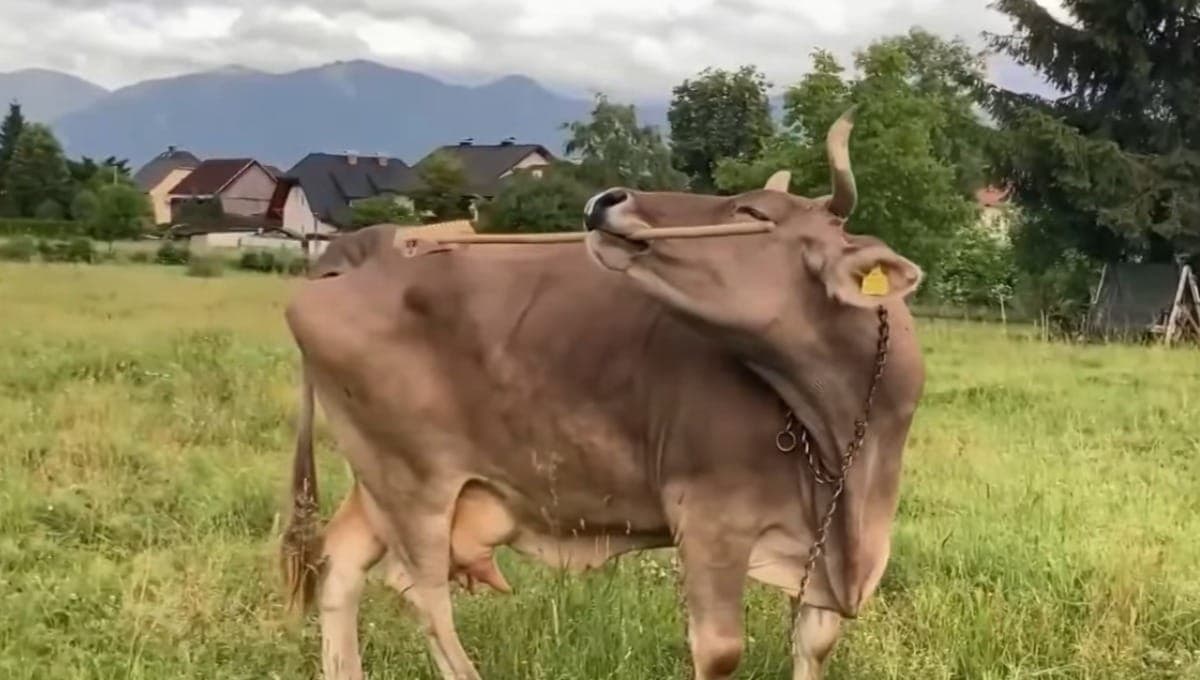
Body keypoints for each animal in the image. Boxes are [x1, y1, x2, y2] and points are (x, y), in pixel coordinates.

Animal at [279, 108, 926, 680]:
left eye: (752, 212)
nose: (608, 200)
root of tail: (364, 249)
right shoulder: (711, 520)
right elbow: (720, 651)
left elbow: (814, 645)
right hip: (412, 484)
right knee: (423, 594)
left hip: (379, 482)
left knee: (341, 563)